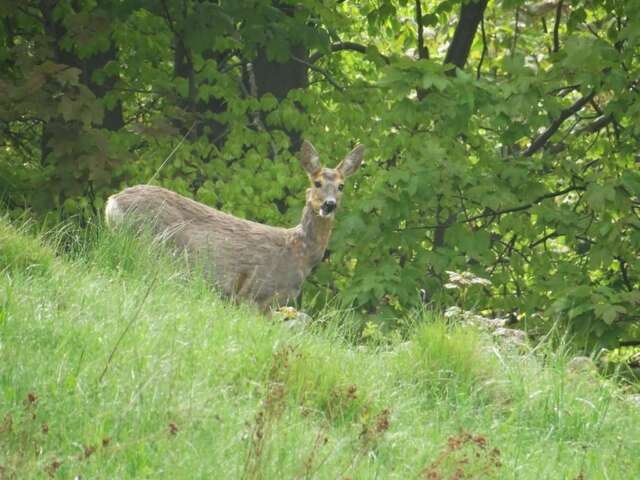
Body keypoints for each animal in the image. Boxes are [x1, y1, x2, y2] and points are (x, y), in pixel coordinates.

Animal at [106, 141, 364, 310]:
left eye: (341, 186)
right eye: (317, 182)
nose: (329, 205)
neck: (300, 252)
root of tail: (112, 203)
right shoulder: (256, 293)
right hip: (152, 250)